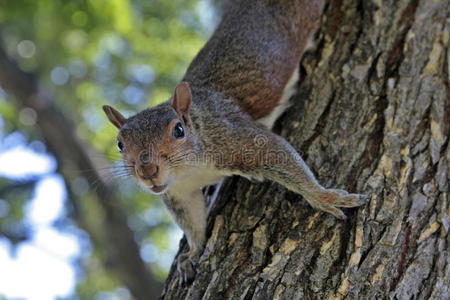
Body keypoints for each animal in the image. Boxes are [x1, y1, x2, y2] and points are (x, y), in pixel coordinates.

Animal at [103, 0, 370, 286]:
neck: (190, 169)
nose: (148, 171)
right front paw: (193, 253)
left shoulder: (236, 138)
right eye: (120, 144)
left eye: (178, 130)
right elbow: (192, 221)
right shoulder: (180, 192)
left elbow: (280, 155)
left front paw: (324, 197)